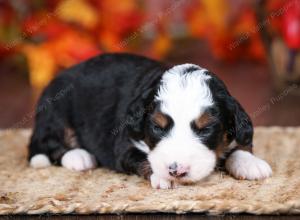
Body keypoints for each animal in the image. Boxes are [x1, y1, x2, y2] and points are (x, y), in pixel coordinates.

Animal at [28, 52, 272, 188]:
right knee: (47, 143)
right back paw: (78, 157)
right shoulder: (124, 145)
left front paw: (251, 164)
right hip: (55, 109)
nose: (176, 171)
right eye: (157, 127)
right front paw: (164, 177)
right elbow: (144, 158)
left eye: (205, 129)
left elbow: (239, 145)